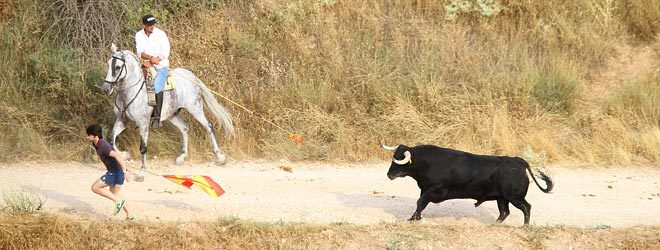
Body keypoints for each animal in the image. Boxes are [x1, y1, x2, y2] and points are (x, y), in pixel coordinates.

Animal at [100, 44, 235, 171]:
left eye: (118, 67)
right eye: (108, 64)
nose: (106, 89)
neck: (128, 93)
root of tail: (192, 77)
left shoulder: (143, 123)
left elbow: (143, 147)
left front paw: (143, 167)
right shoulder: (122, 120)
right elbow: (111, 138)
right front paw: (125, 155)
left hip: (195, 109)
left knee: (208, 126)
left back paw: (220, 157)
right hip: (172, 114)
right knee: (185, 127)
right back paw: (181, 157)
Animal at [378, 141, 556, 225]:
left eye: (400, 161)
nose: (389, 175)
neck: (425, 163)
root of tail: (519, 161)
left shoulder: (435, 190)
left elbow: (420, 202)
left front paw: (414, 218)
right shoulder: (425, 189)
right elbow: (420, 203)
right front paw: (415, 217)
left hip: (514, 197)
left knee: (527, 207)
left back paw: (525, 226)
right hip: (502, 198)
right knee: (504, 212)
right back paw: (493, 225)